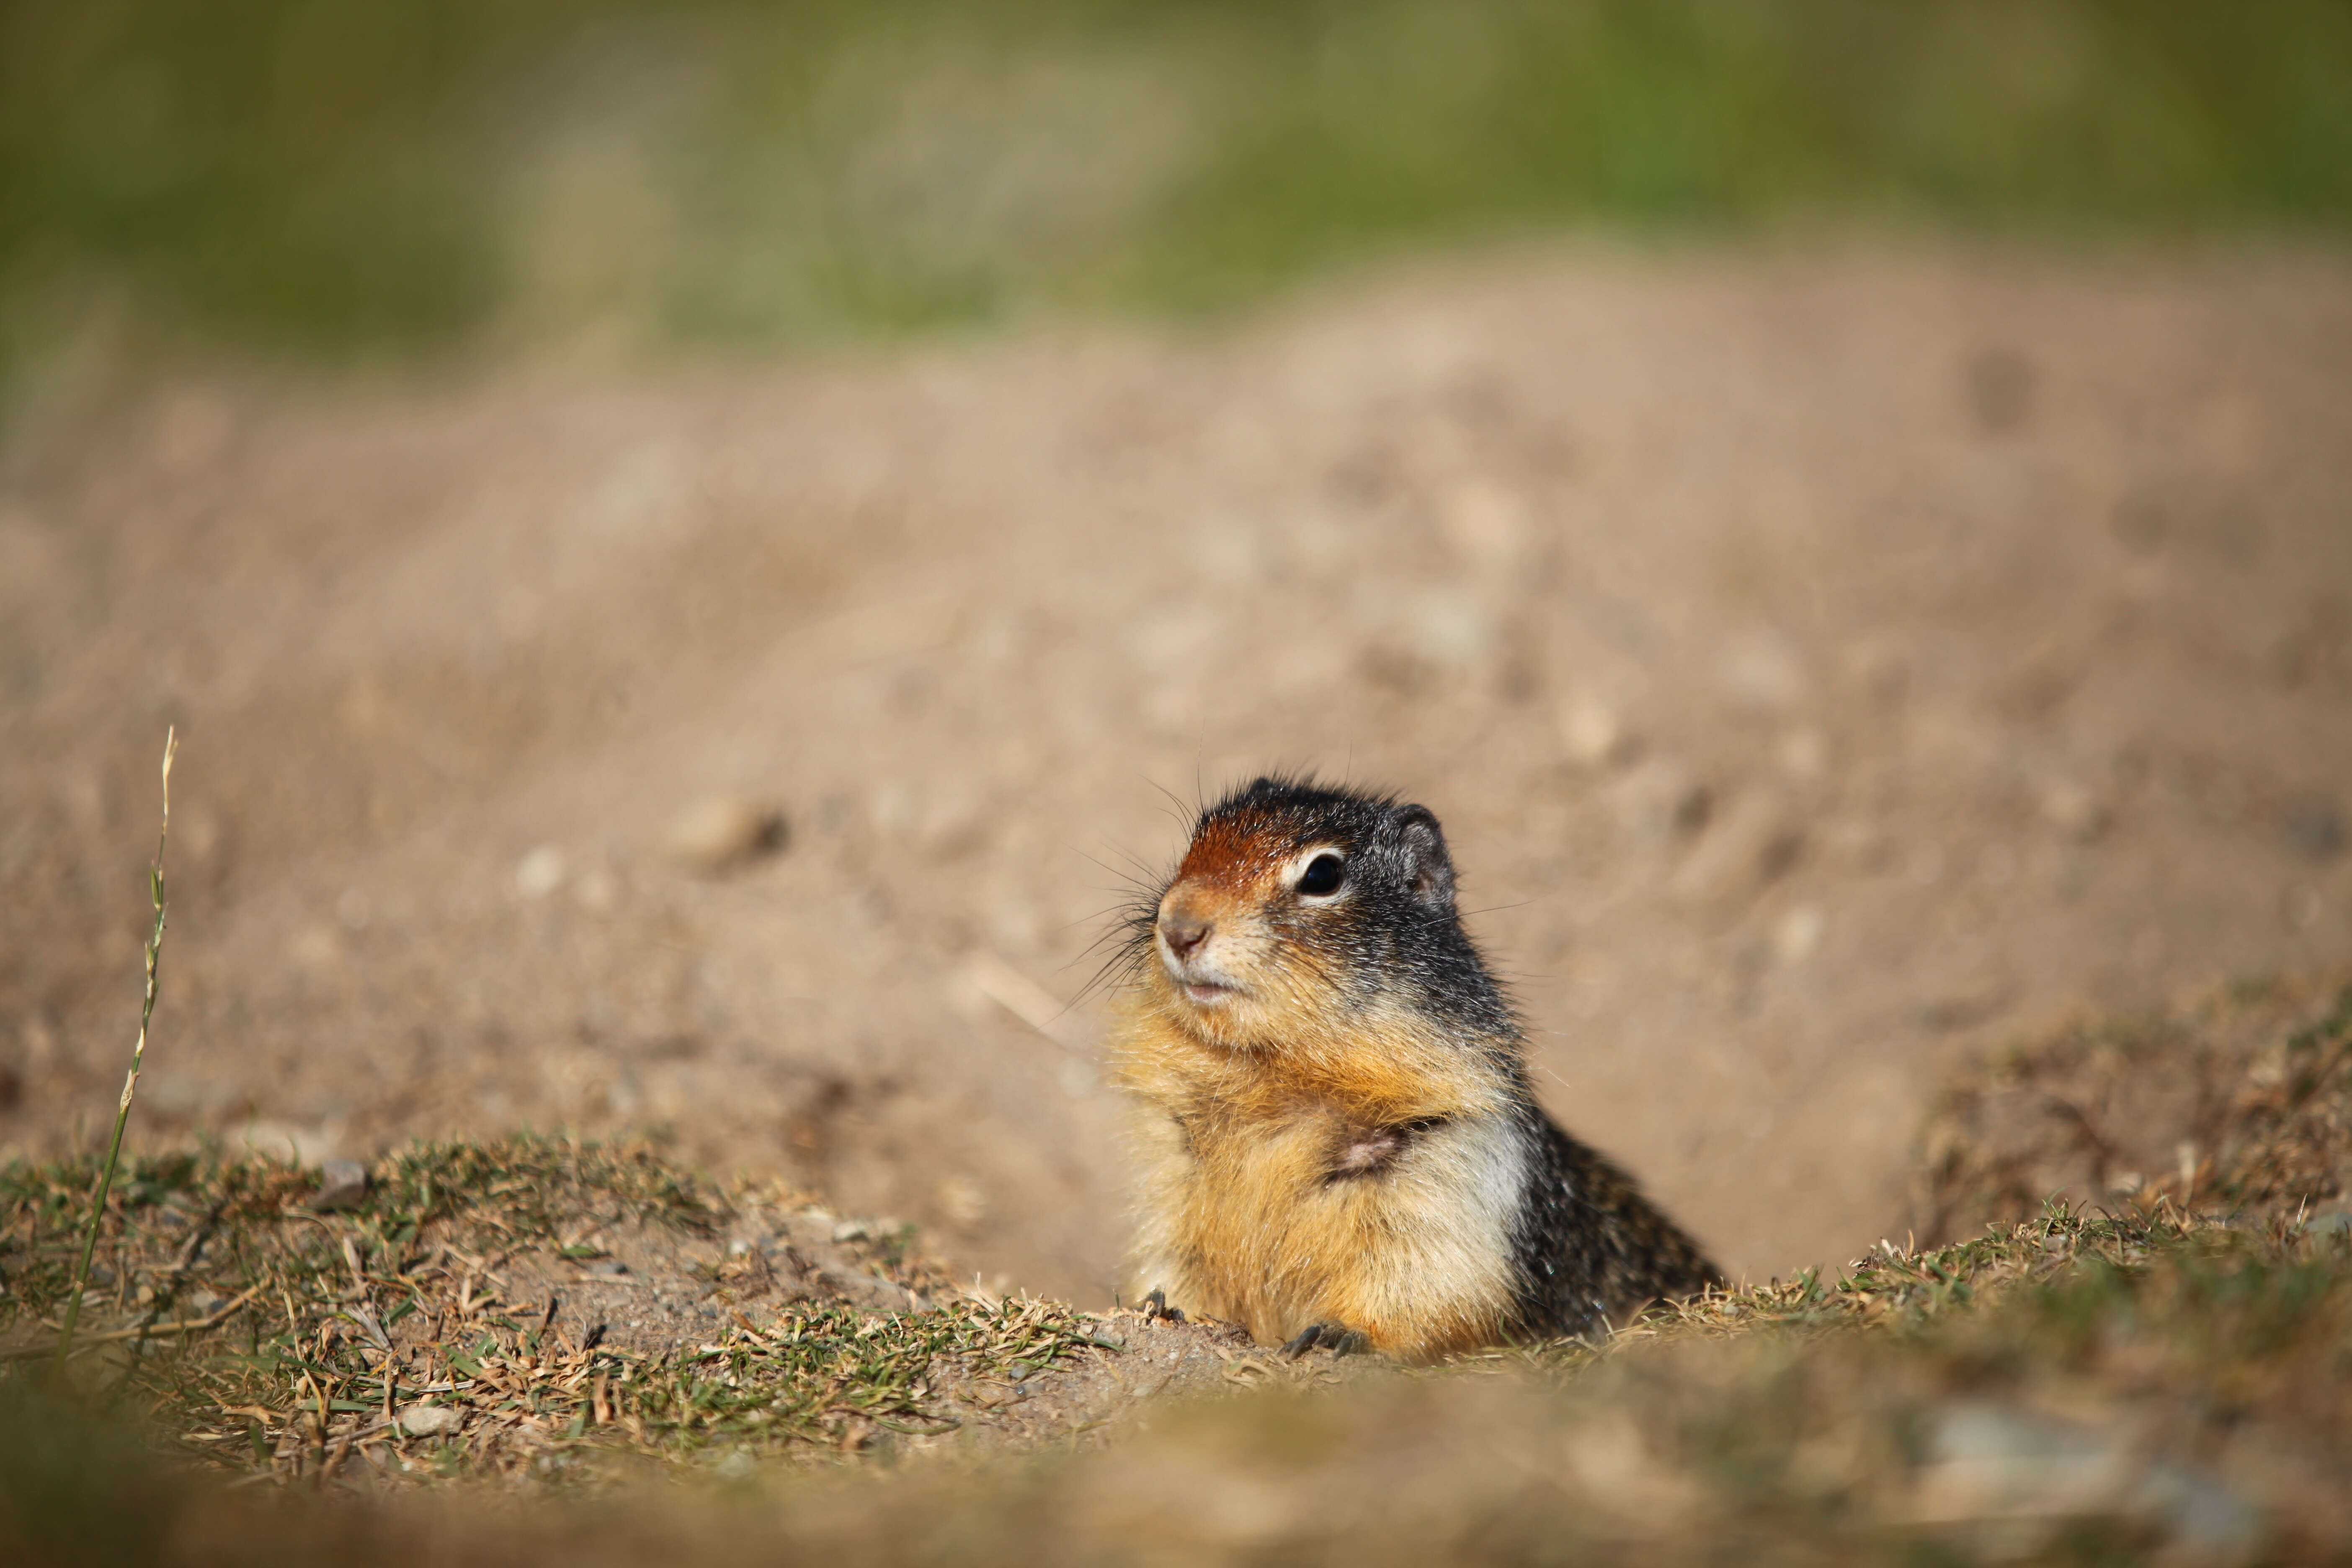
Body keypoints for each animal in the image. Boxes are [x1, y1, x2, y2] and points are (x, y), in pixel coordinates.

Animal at [1110, 776, 1721, 1363]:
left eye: (1324, 874)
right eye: (1195, 842)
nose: (1179, 927)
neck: (1275, 1076)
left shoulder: (1456, 1163)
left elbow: (1430, 1281)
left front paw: (1338, 1335)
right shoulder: (1170, 1165)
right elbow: (1175, 1259)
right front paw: (1160, 1308)